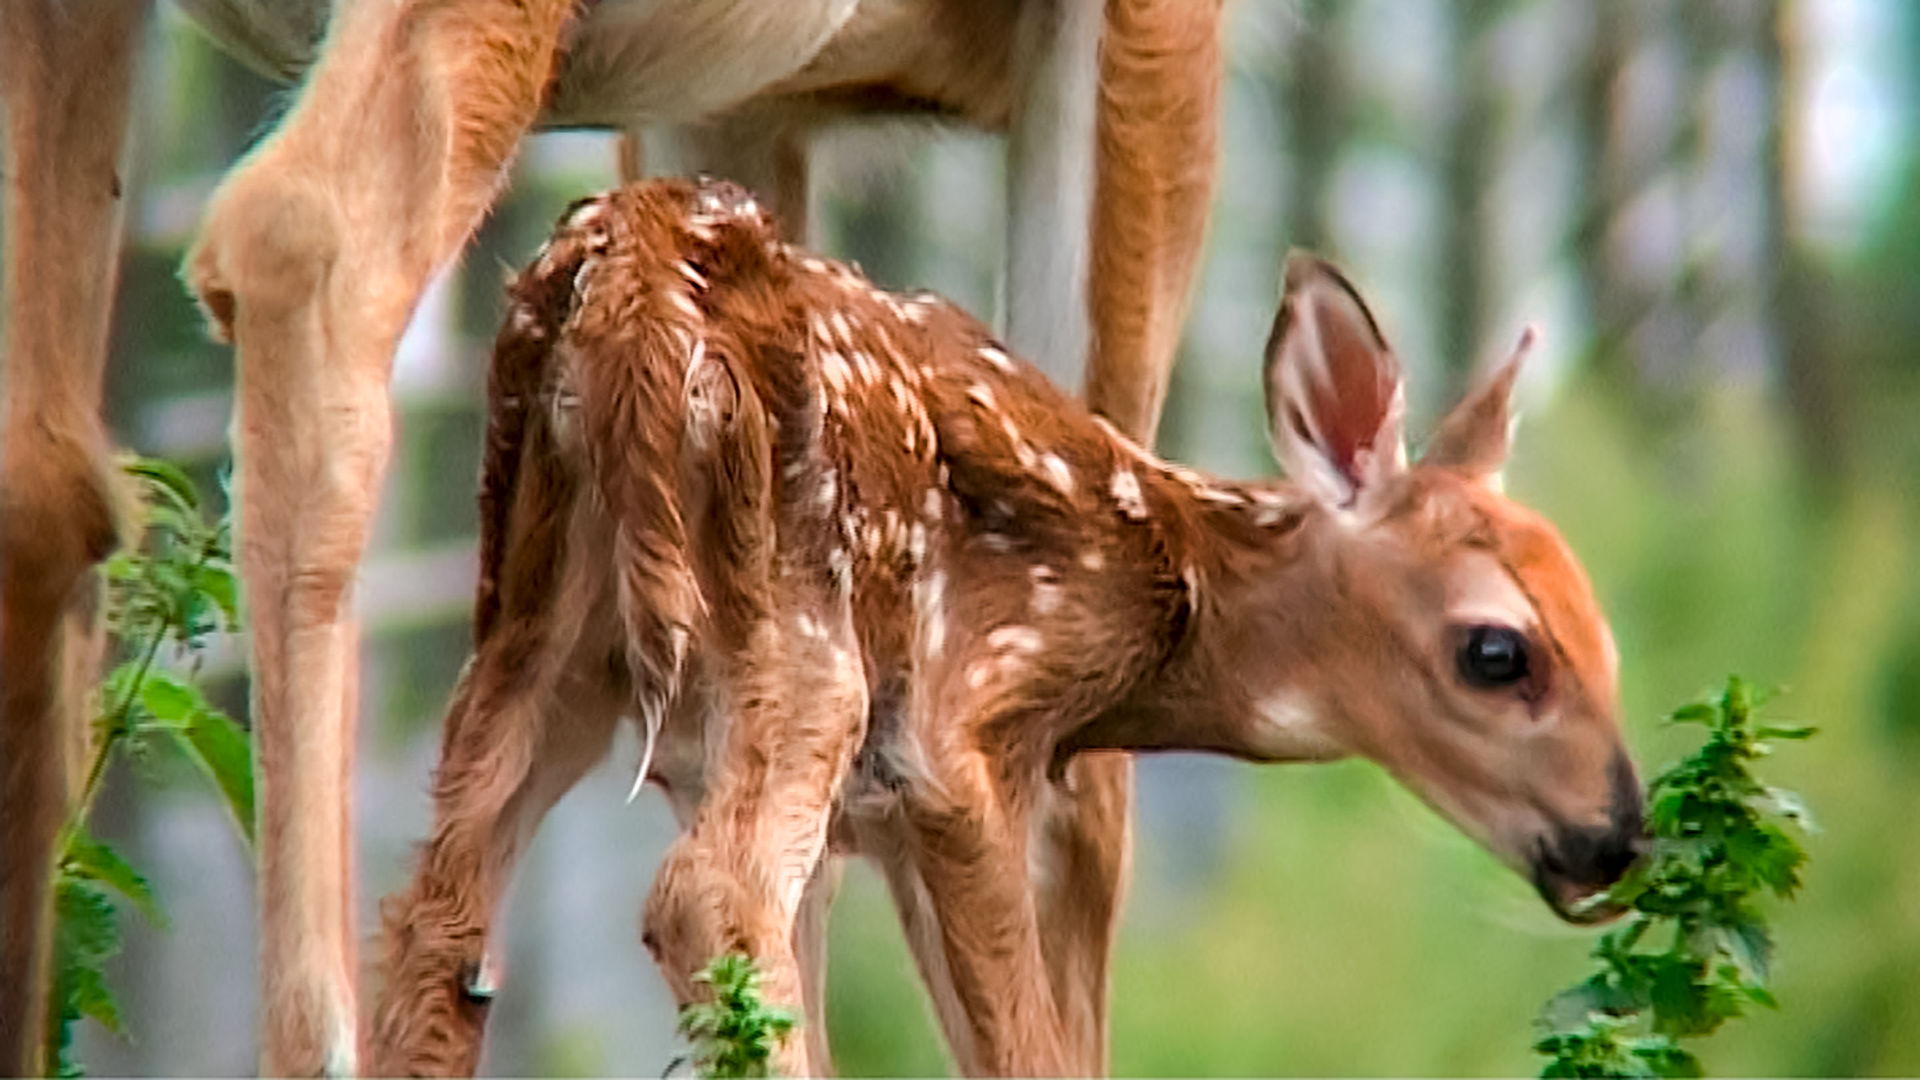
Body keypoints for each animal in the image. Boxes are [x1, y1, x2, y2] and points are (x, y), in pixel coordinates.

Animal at [368, 178, 1646, 1077]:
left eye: (1609, 635)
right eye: (1498, 652)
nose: (1616, 840)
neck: (1166, 584)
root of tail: (625, 283)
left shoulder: (865, 822)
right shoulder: (970, 732)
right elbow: (1032, 1045)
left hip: (538, 624)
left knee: (436, 909)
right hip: (807, 631)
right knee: (705, 898)